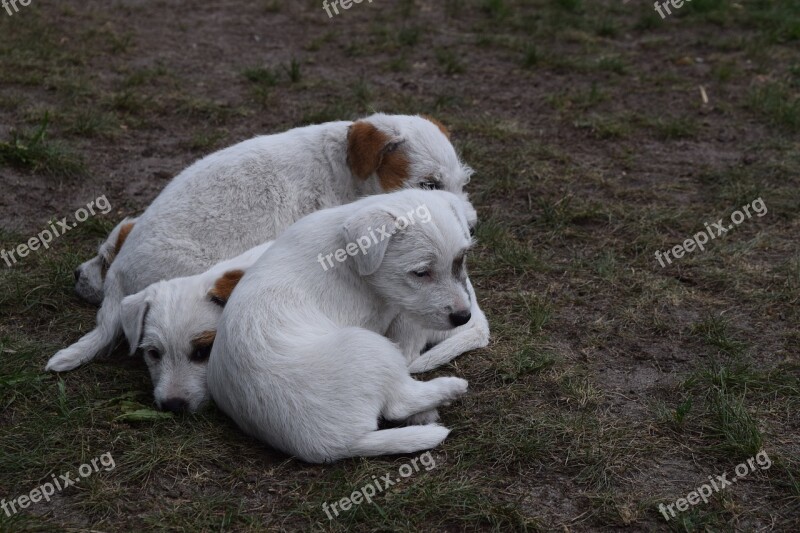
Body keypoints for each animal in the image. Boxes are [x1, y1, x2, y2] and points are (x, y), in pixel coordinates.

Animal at [209, 190, 478, 462]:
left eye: (461, 259)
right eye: (421, 273)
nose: (463, 317)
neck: (351, 259)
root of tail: (336, 446)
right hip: (368, 345)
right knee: (398, 404)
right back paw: (449, 389)